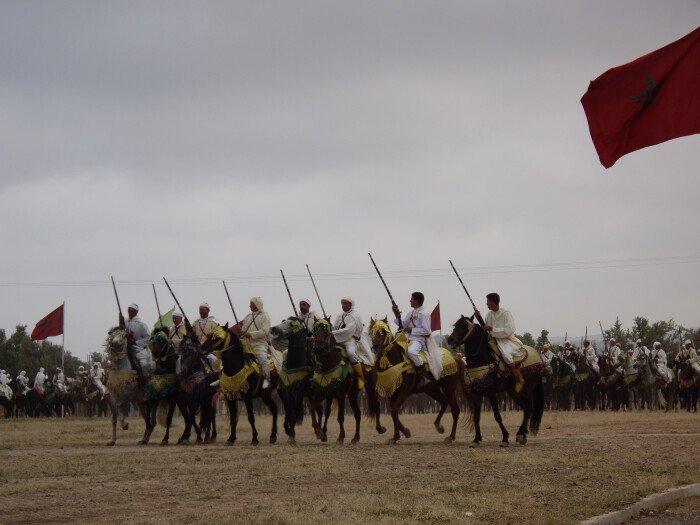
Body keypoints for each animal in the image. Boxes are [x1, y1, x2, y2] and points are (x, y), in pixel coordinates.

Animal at [448, 316, 548, 446]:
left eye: (465, 326)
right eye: (456, 325)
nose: (450, 340)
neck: (481, 360)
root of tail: (538, 357)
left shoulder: (491, 393)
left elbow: (497, 416)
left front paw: (505, 438)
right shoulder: (476, 394)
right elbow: (476, 417)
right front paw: (476, 439)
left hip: (528, 388)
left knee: (529, 408)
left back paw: (521, 434)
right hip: (513, 392)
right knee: (526, 407)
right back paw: (523, 434)